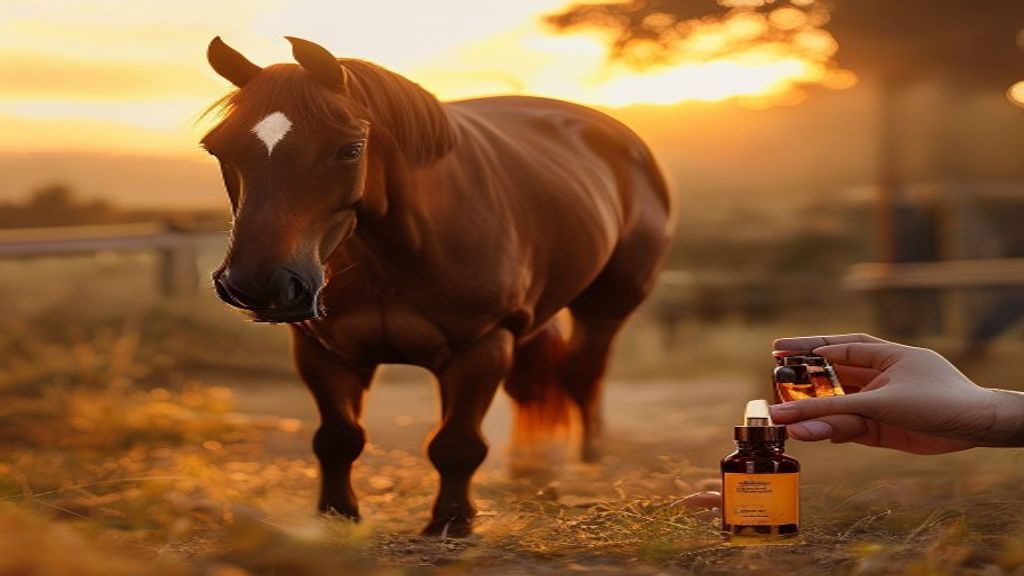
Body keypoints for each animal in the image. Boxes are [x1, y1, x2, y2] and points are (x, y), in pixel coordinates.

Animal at [202, 36, 674, 537]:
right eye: (216, 148)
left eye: (350, 149)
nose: (257, 281)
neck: (401, 250)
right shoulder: (323, 350)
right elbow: (337, 438)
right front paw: (337, 515)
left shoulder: (482, 346)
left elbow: (457, 443)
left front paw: (451, 521)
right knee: (533, 388)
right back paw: (531, 473)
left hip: (605, 307)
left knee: (583, 372)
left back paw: (585, 469)